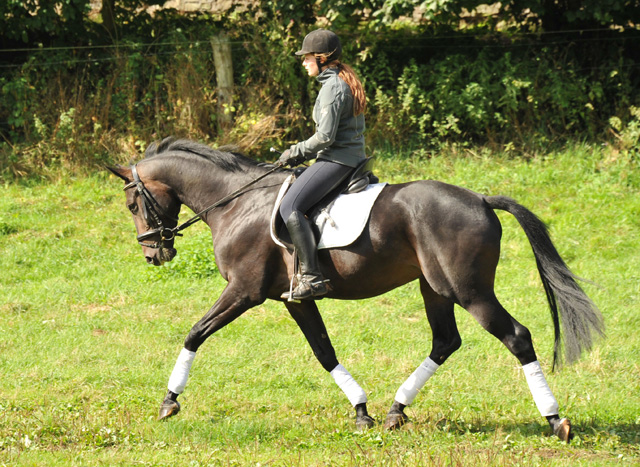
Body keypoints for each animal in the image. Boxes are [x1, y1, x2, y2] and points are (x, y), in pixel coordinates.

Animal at [107, 138, 604, 442]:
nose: (154, 255)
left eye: (132, 204)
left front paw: (169, 401)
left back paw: (555, 419)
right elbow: (324, 351)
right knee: (445, 341)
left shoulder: (244, 291)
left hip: (470, 291)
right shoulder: (293, 301)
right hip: (435, 288)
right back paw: (396, 411)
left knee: (517, 337)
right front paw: (362, 410)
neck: (237, 202)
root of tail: (481, 199)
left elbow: (194, 332)